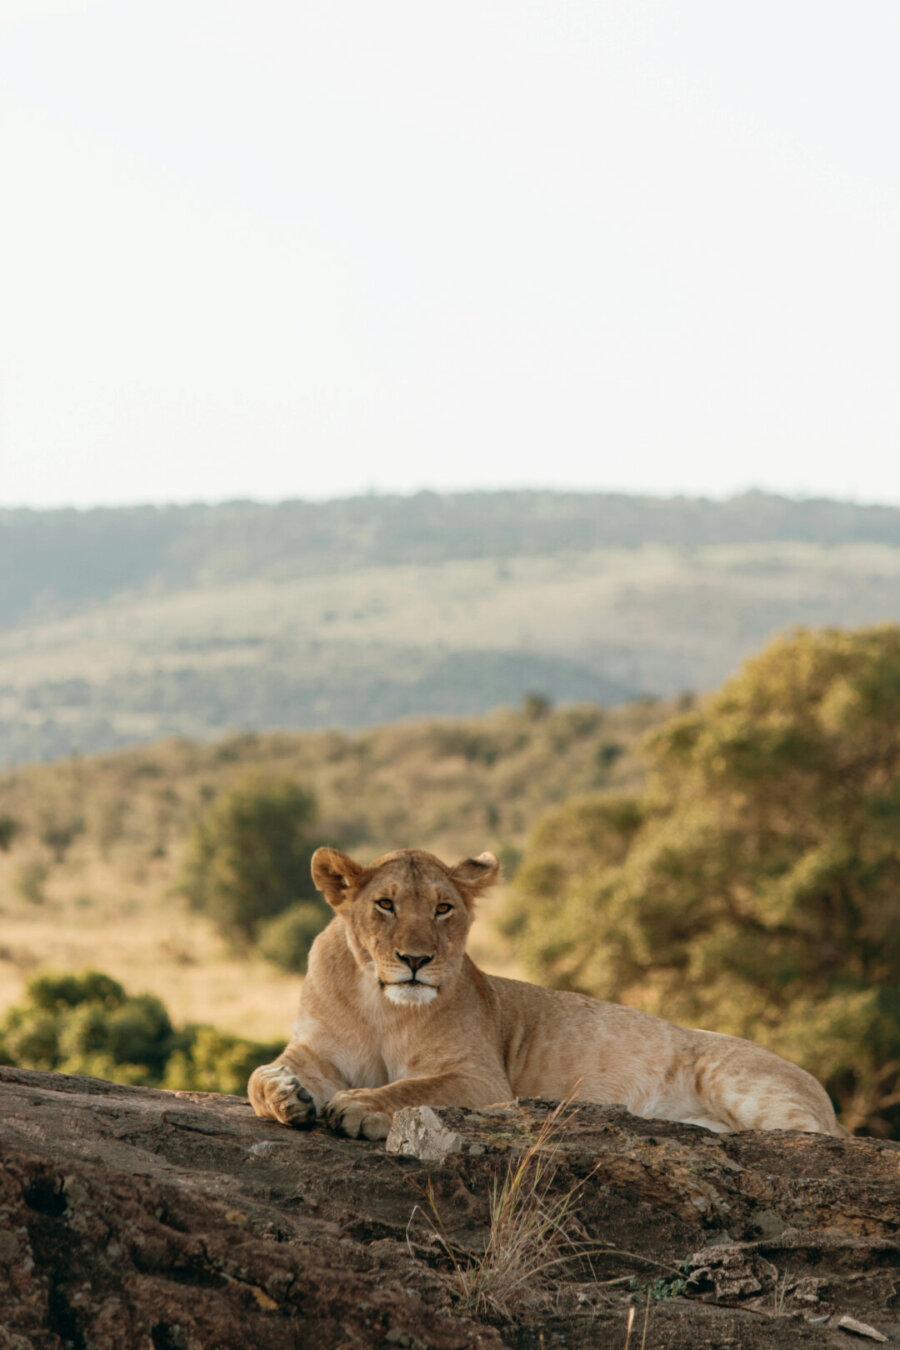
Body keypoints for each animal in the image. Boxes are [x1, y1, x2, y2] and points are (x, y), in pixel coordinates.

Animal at [246, 842, 847, 1139]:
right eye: (385, 904)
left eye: (443, 908)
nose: (416, 961)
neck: (379, 1004)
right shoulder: (318, 1050)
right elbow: (259, 1074)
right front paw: (285, 1094)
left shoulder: (480, 1077)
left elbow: (409, 1090)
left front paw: (358, 1107)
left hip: (738, 1079)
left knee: (817, 1137)